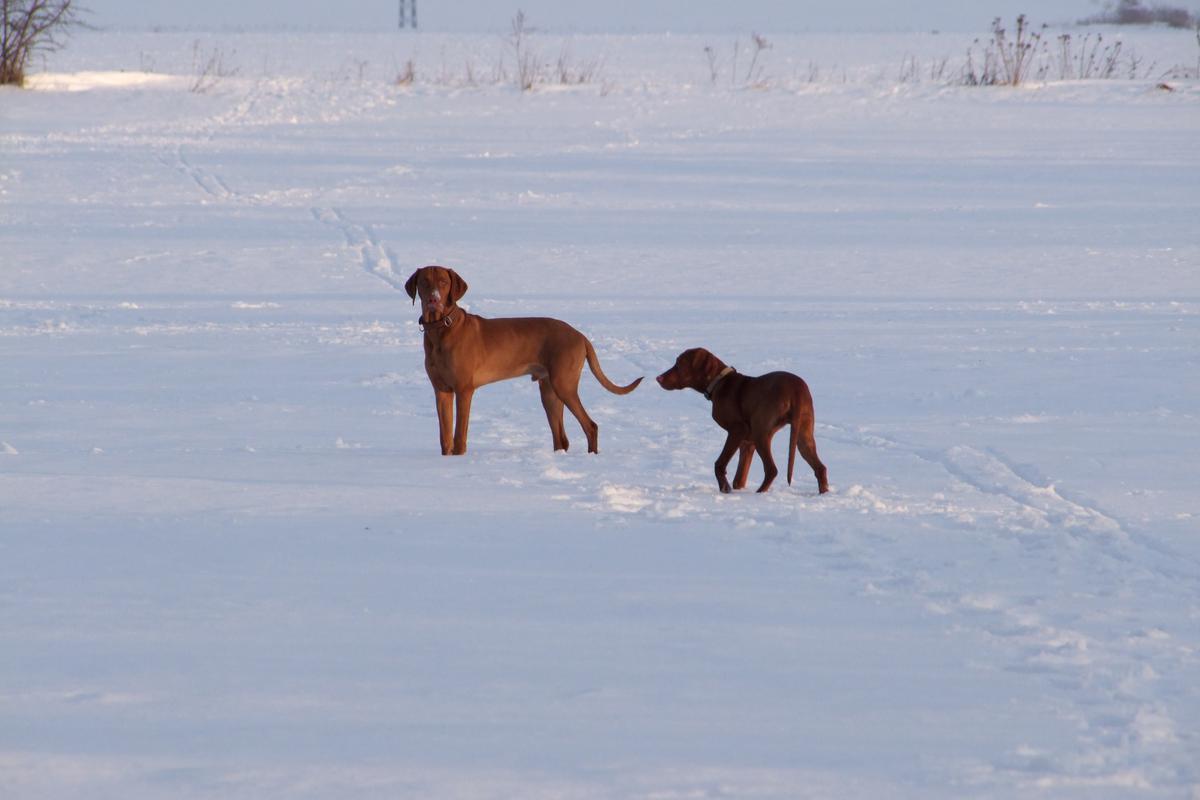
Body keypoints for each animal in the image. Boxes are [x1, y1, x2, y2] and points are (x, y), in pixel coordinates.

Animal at [405, 266, 648, 455]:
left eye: (444, 282)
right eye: (424, 282)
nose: (434, 299)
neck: (441, 329)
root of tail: (580, 335)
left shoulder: (464, 390)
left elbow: (458, 435)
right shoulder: (441, 390)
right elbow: (444, 436)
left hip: (564, 384)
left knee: (591, 426)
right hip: (549, 391)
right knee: (561, 438)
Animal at [657, 347, 825, 494]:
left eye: (679, 363)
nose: (658, 378)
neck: (719, 383)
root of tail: (796, 390)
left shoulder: (737, 430)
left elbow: (719, 464)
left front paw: (725, 489)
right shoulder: (747, 443)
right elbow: (739, 479)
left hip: (761, 433)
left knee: (771, 470)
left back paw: (759, 494)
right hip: (803, 436)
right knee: (820, 468)